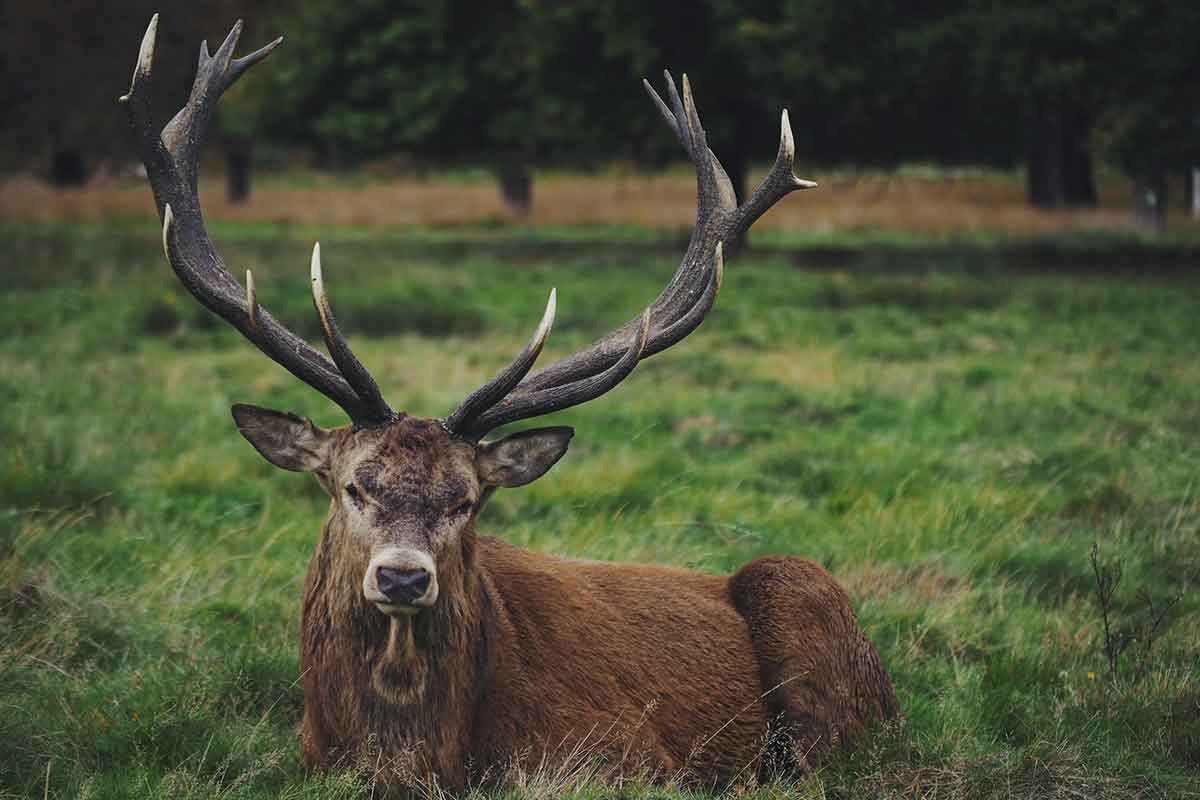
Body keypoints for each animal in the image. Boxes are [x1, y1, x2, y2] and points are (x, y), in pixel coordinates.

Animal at [121, 15, 897, 791]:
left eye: (467, 499)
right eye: (352, 487)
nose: (403, 576)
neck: (419, 757)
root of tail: (889, 691)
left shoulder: (635, 755)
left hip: (802, 600)